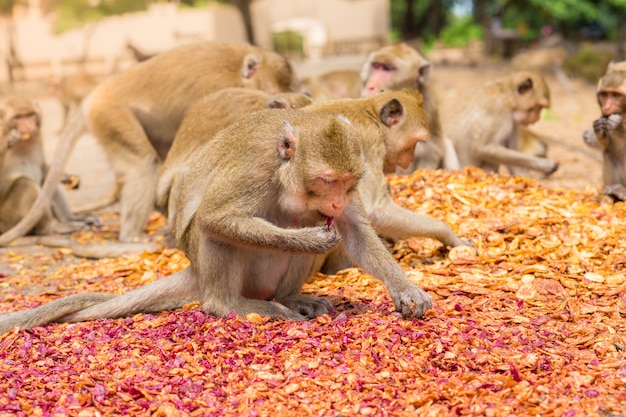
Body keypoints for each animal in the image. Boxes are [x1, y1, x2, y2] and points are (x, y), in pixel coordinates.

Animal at [0, 95, 94, 236]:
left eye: (30, 115)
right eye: (18, 117)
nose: (29, 125)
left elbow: (44, 169)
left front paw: (66, 177)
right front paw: (9, 139)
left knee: (46, 183)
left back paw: (69, 219)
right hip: (8, 220)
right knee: (24, 183)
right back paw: (51, 227)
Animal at [584, 69, 626, 201]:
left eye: (616, 95)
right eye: (604, 95)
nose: (606, 107)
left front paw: (618, 126)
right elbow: (607, 145)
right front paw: (599, 130)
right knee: (609, 153)